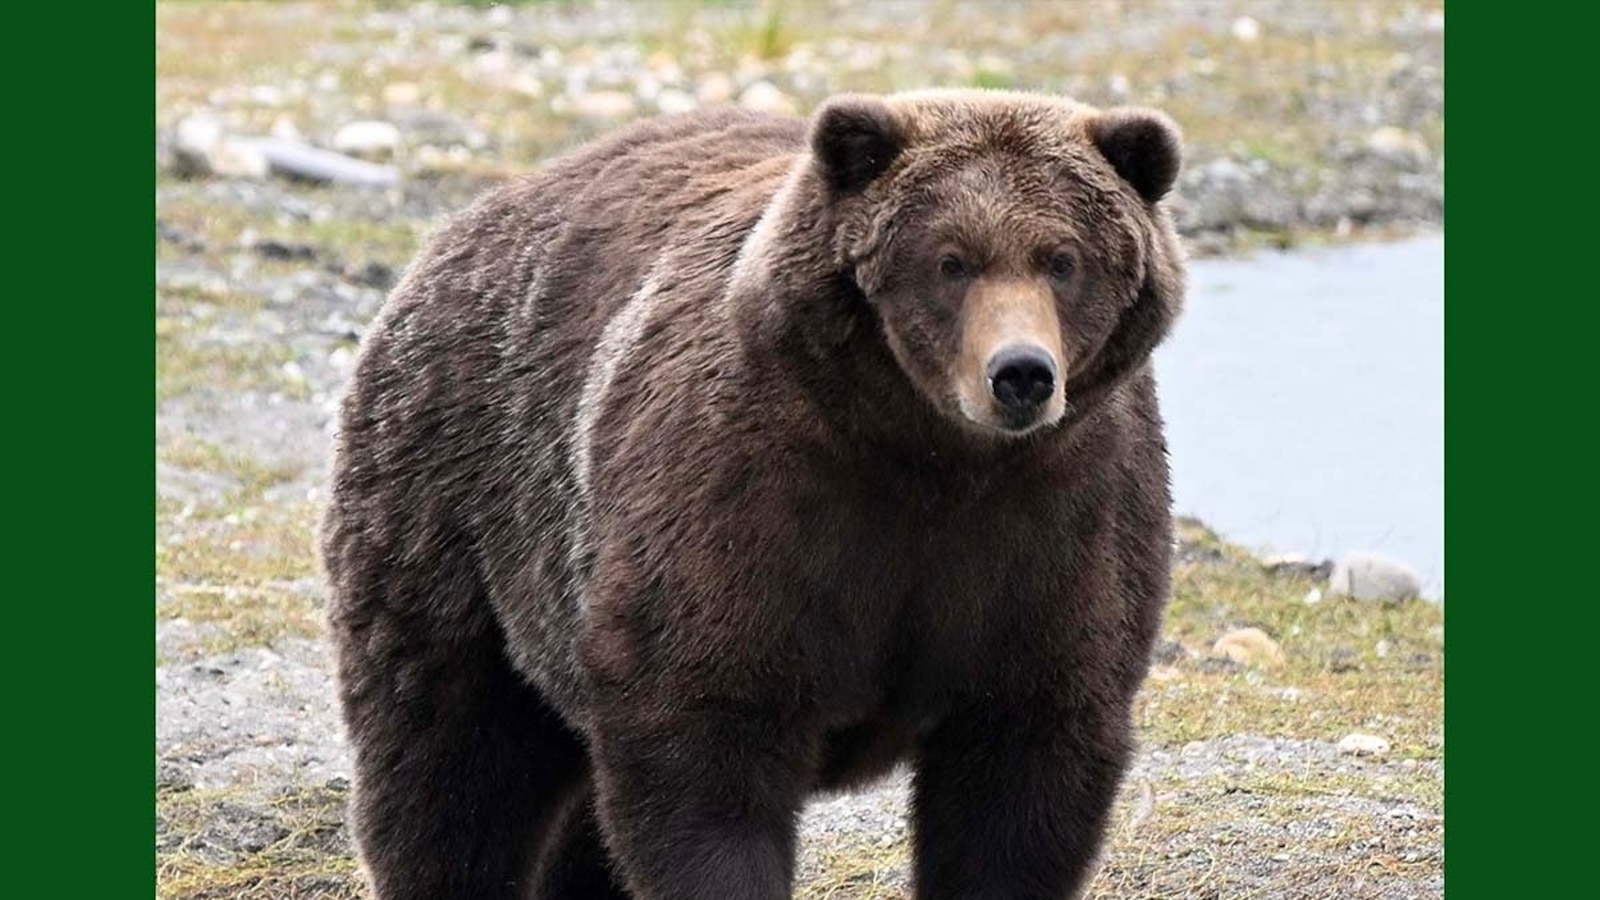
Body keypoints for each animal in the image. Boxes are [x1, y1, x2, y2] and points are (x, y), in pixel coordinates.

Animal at [321, 89, 1186, 900]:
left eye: (1062, 259)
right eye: (951, 261)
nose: (1021, 374)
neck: (929, 456)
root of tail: (464, 224)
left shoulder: (1058, 527)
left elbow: (1025, 774)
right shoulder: (748, 503)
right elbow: (705, 740)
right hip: (461, 508)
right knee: (449, 759)